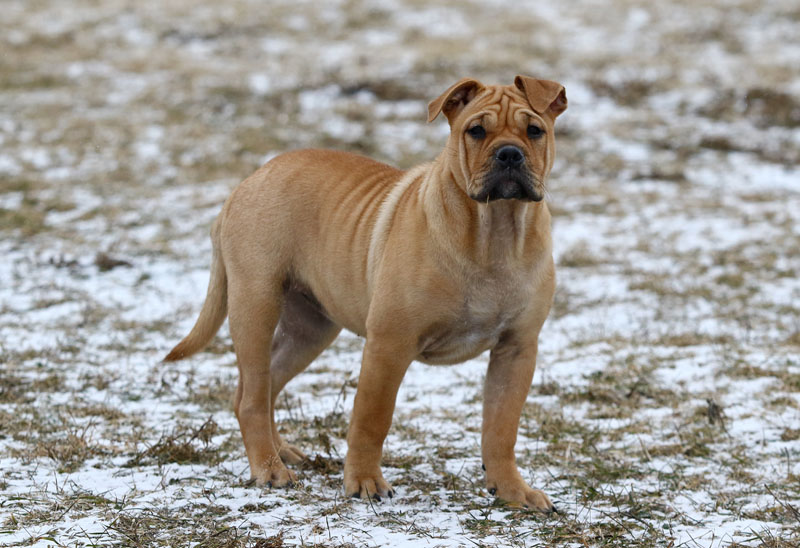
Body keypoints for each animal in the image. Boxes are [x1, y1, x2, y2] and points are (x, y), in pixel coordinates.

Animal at [166, 75, 568, 512]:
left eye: (535, 131)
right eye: (476, 131)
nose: (510, 154)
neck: (495, 231)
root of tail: (248, 181)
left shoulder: (516, 349)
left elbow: (501, 428)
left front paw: (512, 490)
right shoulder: (390, 343)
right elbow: (372, 418)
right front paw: (364, 482)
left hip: (310, 329)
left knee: (260, 387)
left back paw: (282, 451)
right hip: (256, 305)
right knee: (254, 396)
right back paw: (270, 469)